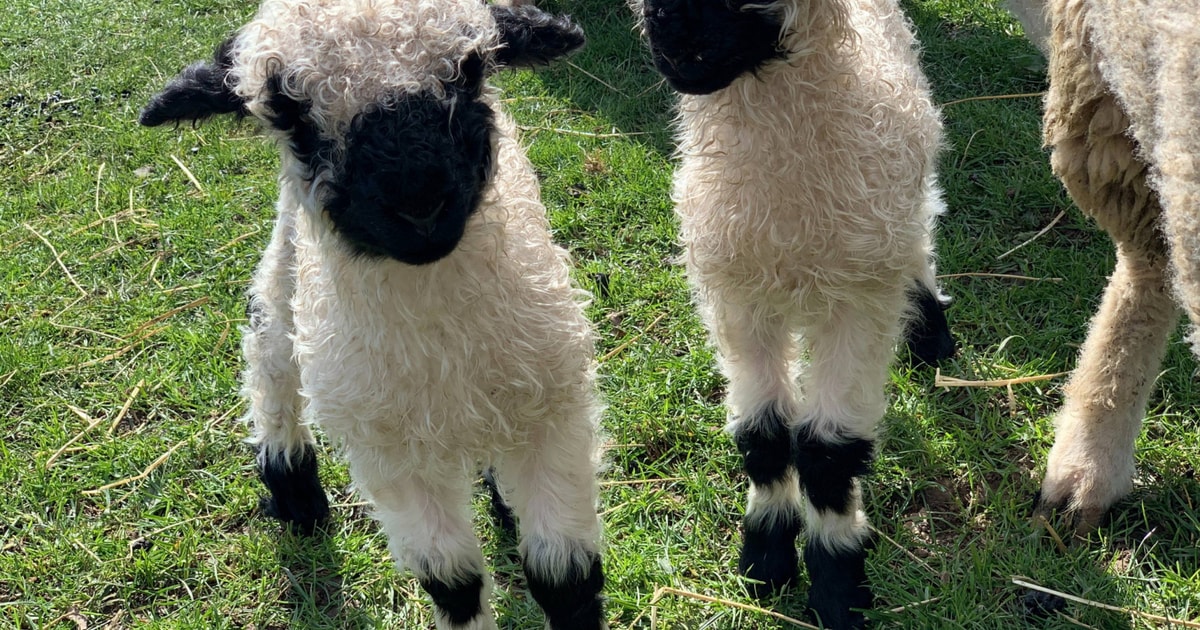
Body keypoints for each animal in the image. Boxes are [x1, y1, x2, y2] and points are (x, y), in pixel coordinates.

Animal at [138, 2, 609, 628]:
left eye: (471, 69)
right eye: (289, 112)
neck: (444, 343)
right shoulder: (391, 454)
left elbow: (566, 579)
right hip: (289, 269)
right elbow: (454, 585)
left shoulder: (552, 414)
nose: (419, 203)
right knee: (269, 356)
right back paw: (292, 486)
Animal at [633, 0, 953, 626]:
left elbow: (828, 454)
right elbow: (762, 435)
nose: (671, 37)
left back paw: (933, 333)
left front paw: (838, 582)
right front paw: (766, 554)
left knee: (921, 237)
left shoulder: (857, 304)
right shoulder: (738, 300)